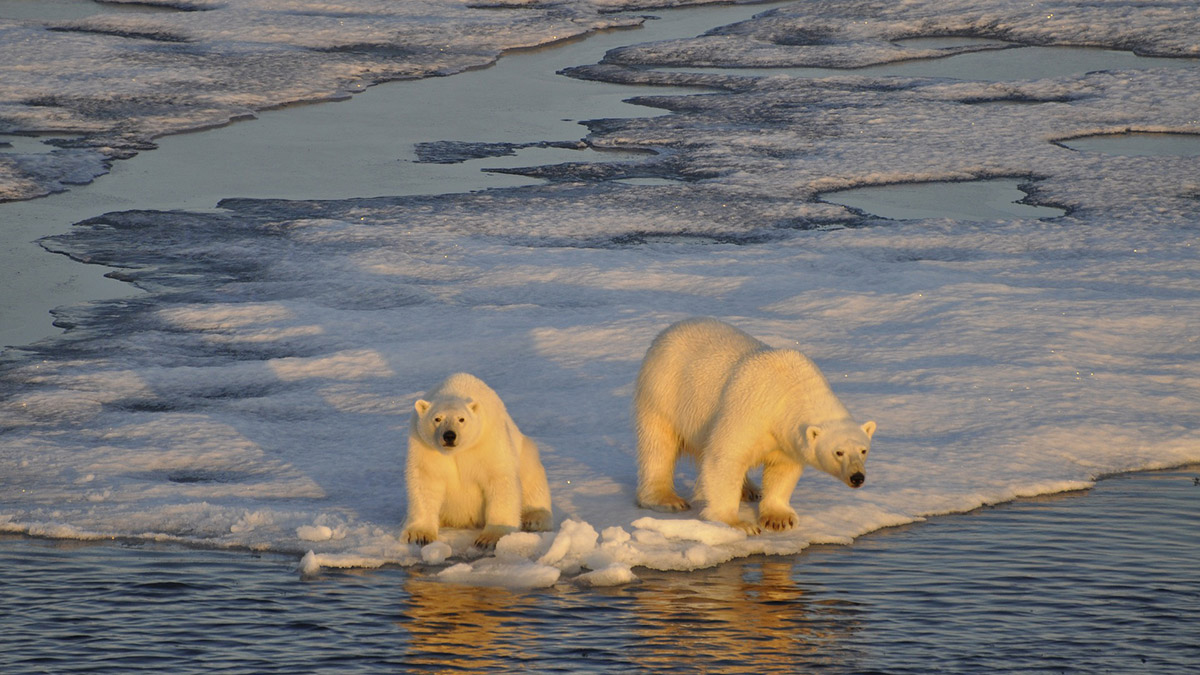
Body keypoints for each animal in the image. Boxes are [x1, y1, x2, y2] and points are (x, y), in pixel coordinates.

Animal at [403, 369, 552, 550]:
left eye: (461, 419)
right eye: (437, 418)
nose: (449, 435)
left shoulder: (487, 439)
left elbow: (499, 478)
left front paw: (490, 538)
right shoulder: (425, 445)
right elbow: (426, 479)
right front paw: (419, 535)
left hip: (526, 454)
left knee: (532, 479)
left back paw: (534, 518)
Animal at [633, 317, 878, 533]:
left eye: (863, 450)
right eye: (838, 452)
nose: (857, 477)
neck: (790, 392)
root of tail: (668, 331)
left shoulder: (786, 437)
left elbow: (783, 469)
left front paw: (779, 519)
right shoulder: (751, 409)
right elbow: (726, 457)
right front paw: (738, 523)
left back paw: (750, 490)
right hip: (664, 391)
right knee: (659, 445)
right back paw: (667, 499)